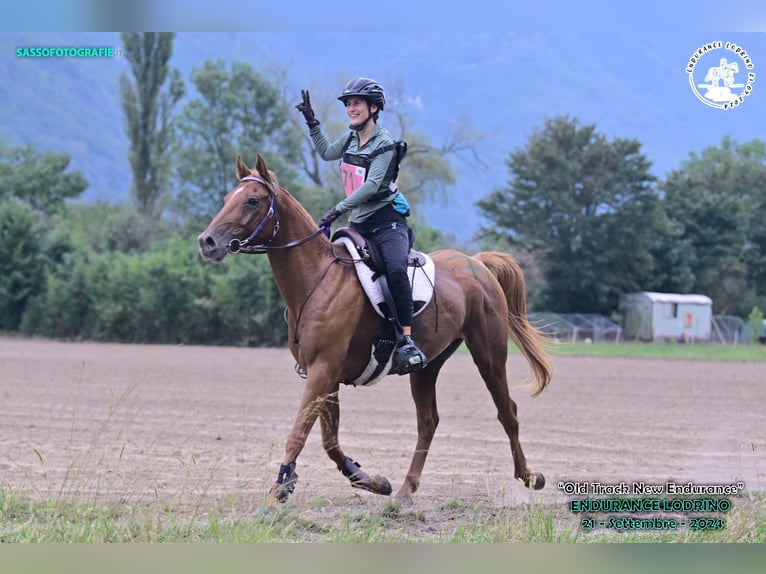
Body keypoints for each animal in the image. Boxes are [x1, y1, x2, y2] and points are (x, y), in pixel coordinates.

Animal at [198, 154, 556, 508]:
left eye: (252, 201)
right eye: (227, 199)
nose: (207, 241)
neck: (318, 278)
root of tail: (478, 263)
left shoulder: (322, 370)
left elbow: (299, 432)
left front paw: (278, 489)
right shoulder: (326, 376)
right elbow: (330, 440)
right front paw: (369, 480)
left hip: (489, 355)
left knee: (507, 412)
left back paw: (529, 476)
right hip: (427, 366)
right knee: (428, 421)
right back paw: (406, 489)